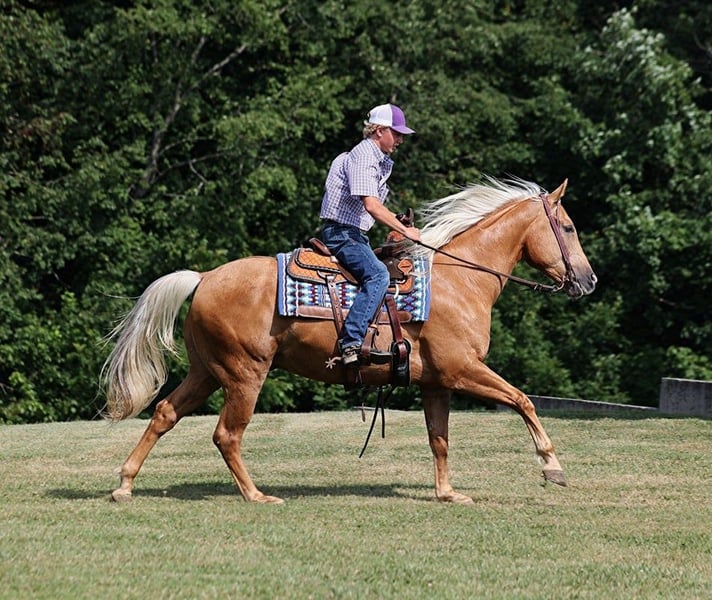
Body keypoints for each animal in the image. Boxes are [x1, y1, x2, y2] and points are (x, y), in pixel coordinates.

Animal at [102, 177, 597, 505]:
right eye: (569, 227)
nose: (589, 280)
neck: (460, 280)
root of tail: (204, 277)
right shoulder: (464, 370)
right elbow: (522, 400)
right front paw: (552, 467)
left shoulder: (436, 383)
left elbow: (439, 439)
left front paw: (447, 493)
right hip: (244, 374)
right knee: (227, 434)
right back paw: (256, 495)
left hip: (206, 371)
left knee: (165, 413)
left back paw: (124, 484)